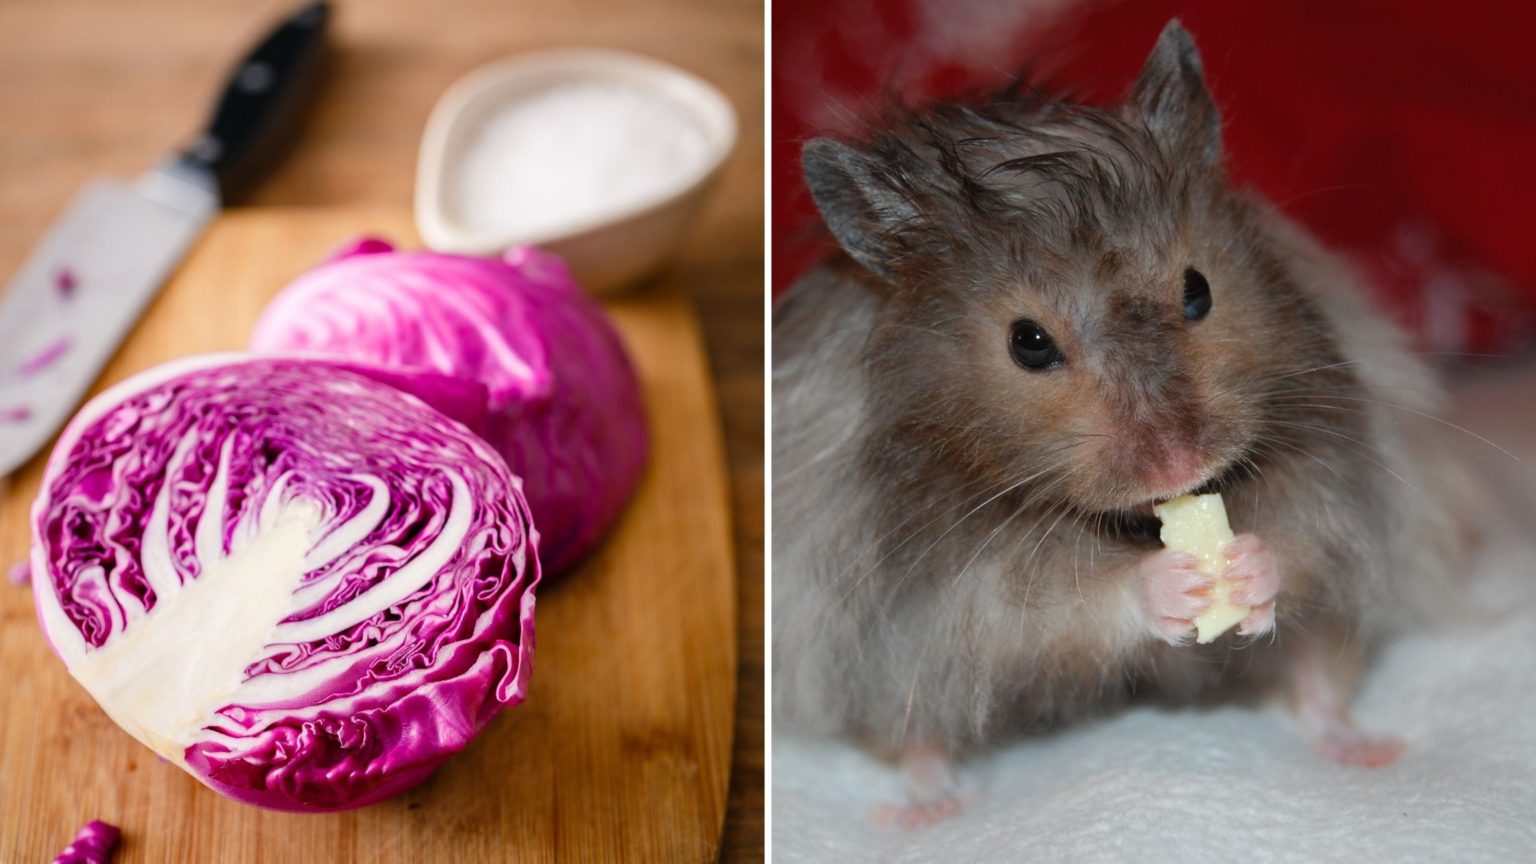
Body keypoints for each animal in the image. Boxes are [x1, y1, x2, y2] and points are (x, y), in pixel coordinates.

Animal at [772, 20, 1471, 824]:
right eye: (1027, 342)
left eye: (1199, 290)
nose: (1181, 466)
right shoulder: (948, 580)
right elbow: (1056, 600)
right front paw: (1172, 582)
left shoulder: (1329, 468)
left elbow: (1302, 539)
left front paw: (1246, 565)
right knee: (918, 731)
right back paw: (929, 810)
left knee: (1316, 667)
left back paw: (1367, 749)